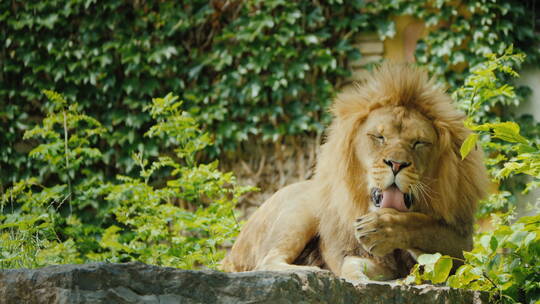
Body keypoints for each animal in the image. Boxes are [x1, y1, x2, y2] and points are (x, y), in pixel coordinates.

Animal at [219, 63, 490, 282]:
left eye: (419, 143)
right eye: (379, 137)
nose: (396, 164)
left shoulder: (461, 243)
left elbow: (424, 228)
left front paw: (381, 229)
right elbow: (352, 264)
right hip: (301, 209)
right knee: (266, 261)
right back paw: (312, 271)